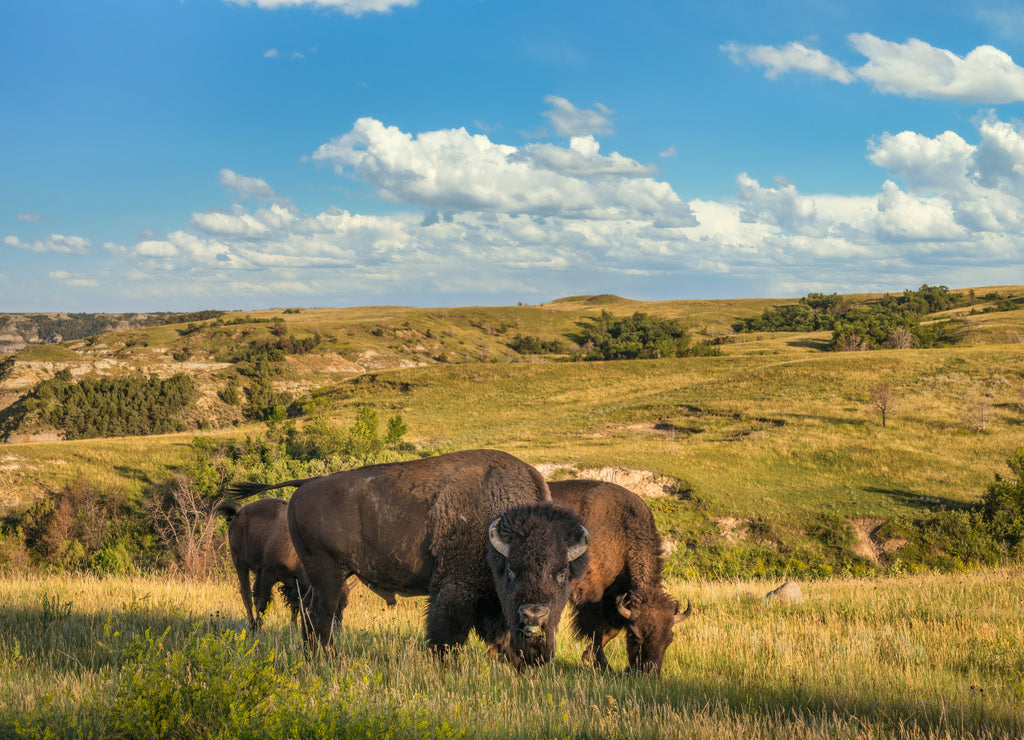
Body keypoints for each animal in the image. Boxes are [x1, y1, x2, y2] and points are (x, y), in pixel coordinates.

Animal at [229, 448, 589, 675]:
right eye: (512, 569)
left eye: (562, 573)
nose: (534, 616)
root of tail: (306, 484)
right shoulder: (454, 587)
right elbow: (447, 632)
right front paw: (445, 667)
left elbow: (494, 631)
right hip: (327, 573)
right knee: (321, 614)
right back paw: (329, 660)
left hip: (319, 576)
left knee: (307, 611)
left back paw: (312, 656)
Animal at [548, 481, 692, 675]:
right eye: (635, 636)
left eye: (669, 639)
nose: (649, 673)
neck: (620, 533)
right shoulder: (591, 593)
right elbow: (596, 630)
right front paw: (604, 666)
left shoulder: (615, 598)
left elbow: (612, 630)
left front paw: (587, 657)